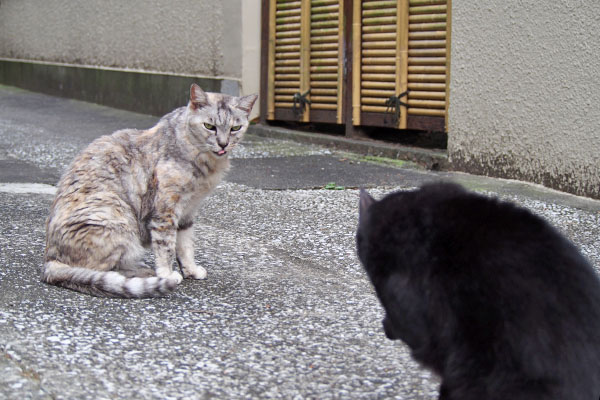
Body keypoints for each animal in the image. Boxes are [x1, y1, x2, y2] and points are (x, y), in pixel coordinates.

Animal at [41, 83, 258, 296]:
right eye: (209, 126)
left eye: (235, 128)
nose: (223, 144)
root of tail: (50, 260)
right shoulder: (165, 211)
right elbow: (166, 246)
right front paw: (167, 274)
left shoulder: (188, 211)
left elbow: (186, 246)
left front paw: (190, 270)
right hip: (117, 219)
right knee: (98, 269)